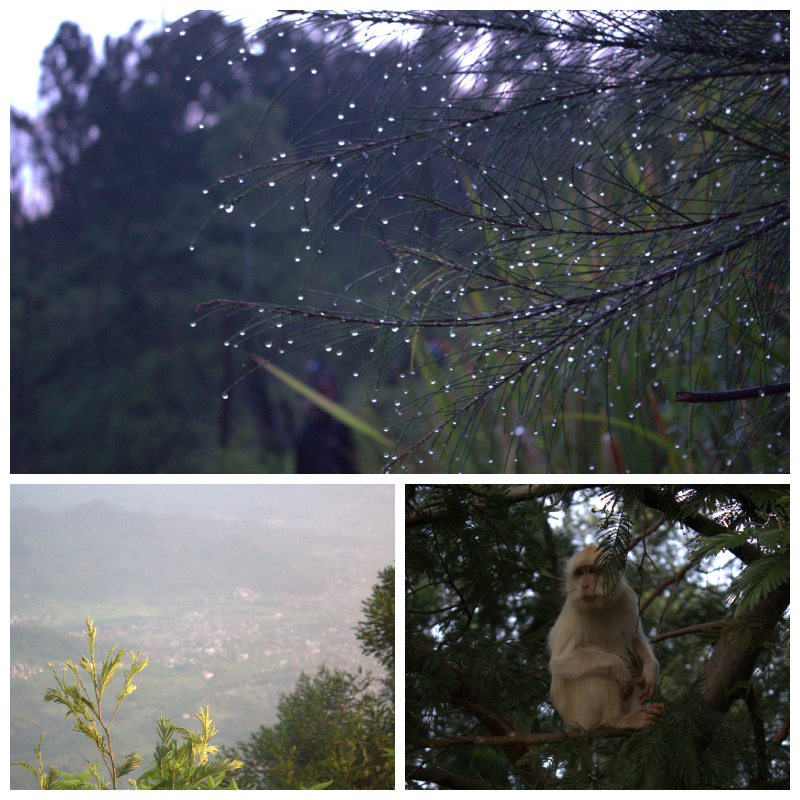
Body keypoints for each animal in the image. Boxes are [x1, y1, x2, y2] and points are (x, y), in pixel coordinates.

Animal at [552, 544, 664, 732]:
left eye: (593, 571)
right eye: (580, 573)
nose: (585, 586)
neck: (602, 605)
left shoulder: (628, 597)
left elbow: (637, 640)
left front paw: (651, 668)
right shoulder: (574, 611)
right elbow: (560, 661)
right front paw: (617, 666)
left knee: (633, 659)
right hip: (582, 717)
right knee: (597, 670)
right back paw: (615, 720)